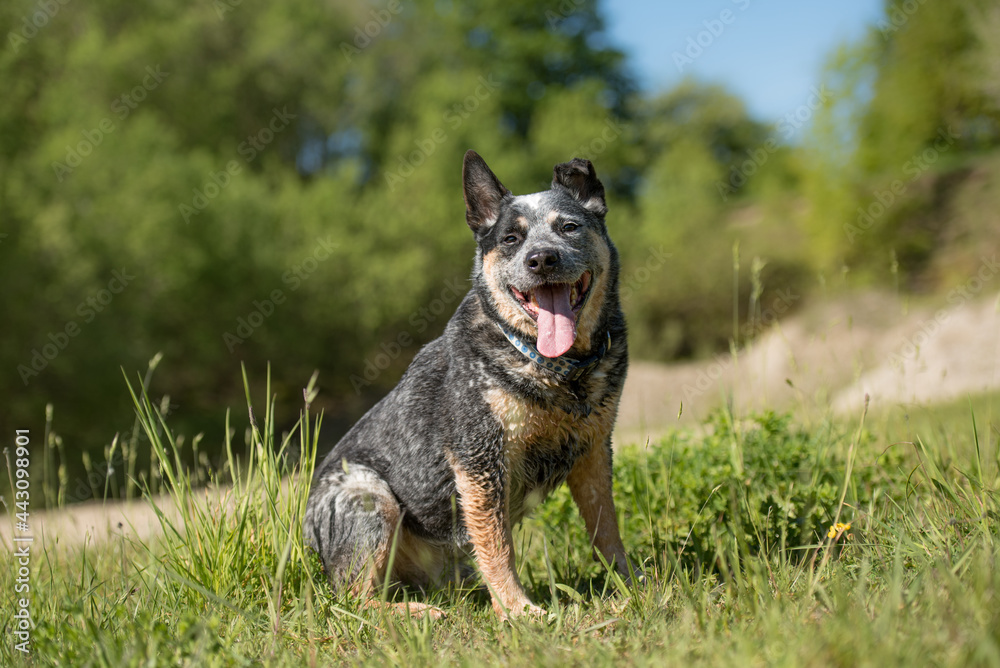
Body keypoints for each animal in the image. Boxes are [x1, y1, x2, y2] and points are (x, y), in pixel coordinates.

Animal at [302, 149, 632, 620]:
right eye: (511, 239)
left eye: (569, 227)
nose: (542, 259)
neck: (557, 370)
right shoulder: (479, 458)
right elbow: (498, 546)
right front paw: (518, 611)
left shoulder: (594, 450)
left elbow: (607, 530)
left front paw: (635, 587)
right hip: (368, 495)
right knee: (354, 601)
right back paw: (417, 612)